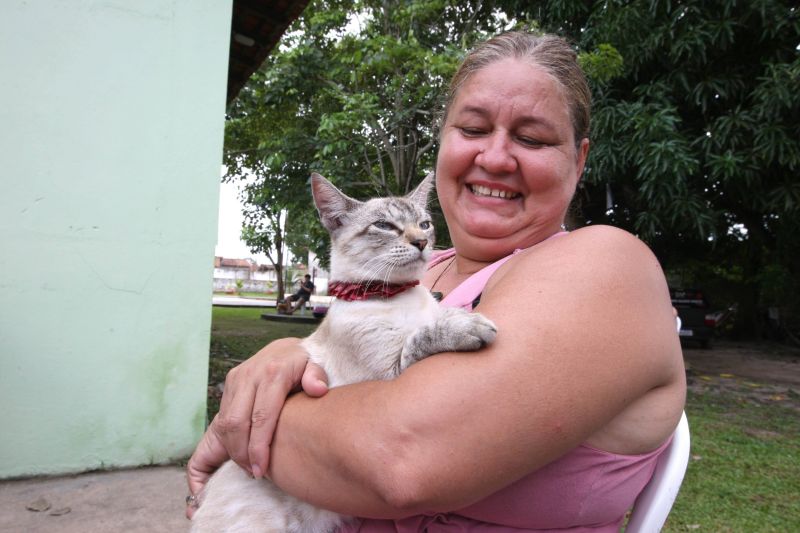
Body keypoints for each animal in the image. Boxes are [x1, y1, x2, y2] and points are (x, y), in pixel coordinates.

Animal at [191, 172, 496, 528]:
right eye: (385, 226)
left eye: (425, 224)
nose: (422, 242)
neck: (396, 295)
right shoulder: (391, 370)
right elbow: (424, 335)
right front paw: (470, 325)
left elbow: (435, 318)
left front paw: (457, 314)